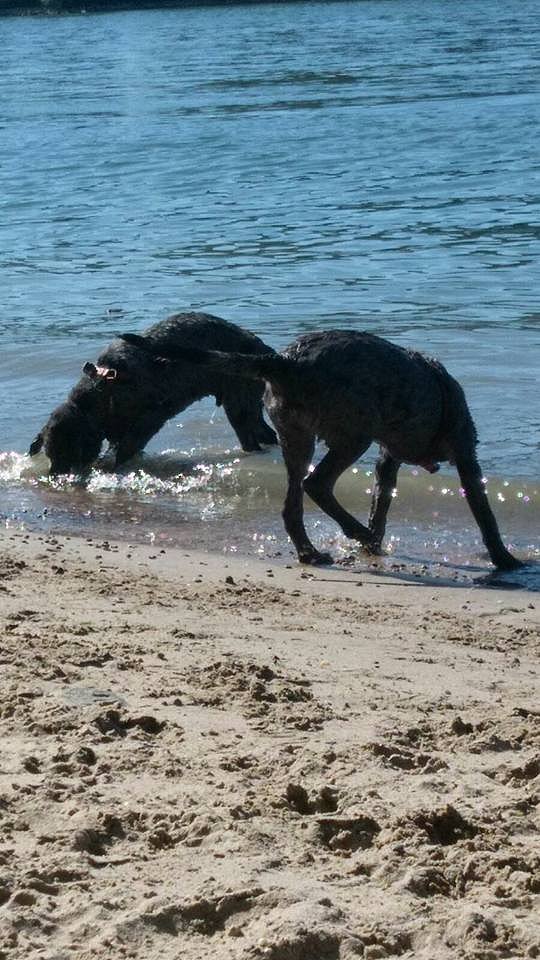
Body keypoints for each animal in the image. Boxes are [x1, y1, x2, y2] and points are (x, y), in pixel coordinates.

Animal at [28, 312, 276, 476]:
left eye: (66, 453)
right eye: (50, 454)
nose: (53, 476)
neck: (105, 389)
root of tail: (264, 351)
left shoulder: (152, 416)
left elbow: (126, 448)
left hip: (239, 408)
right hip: (246, 409)